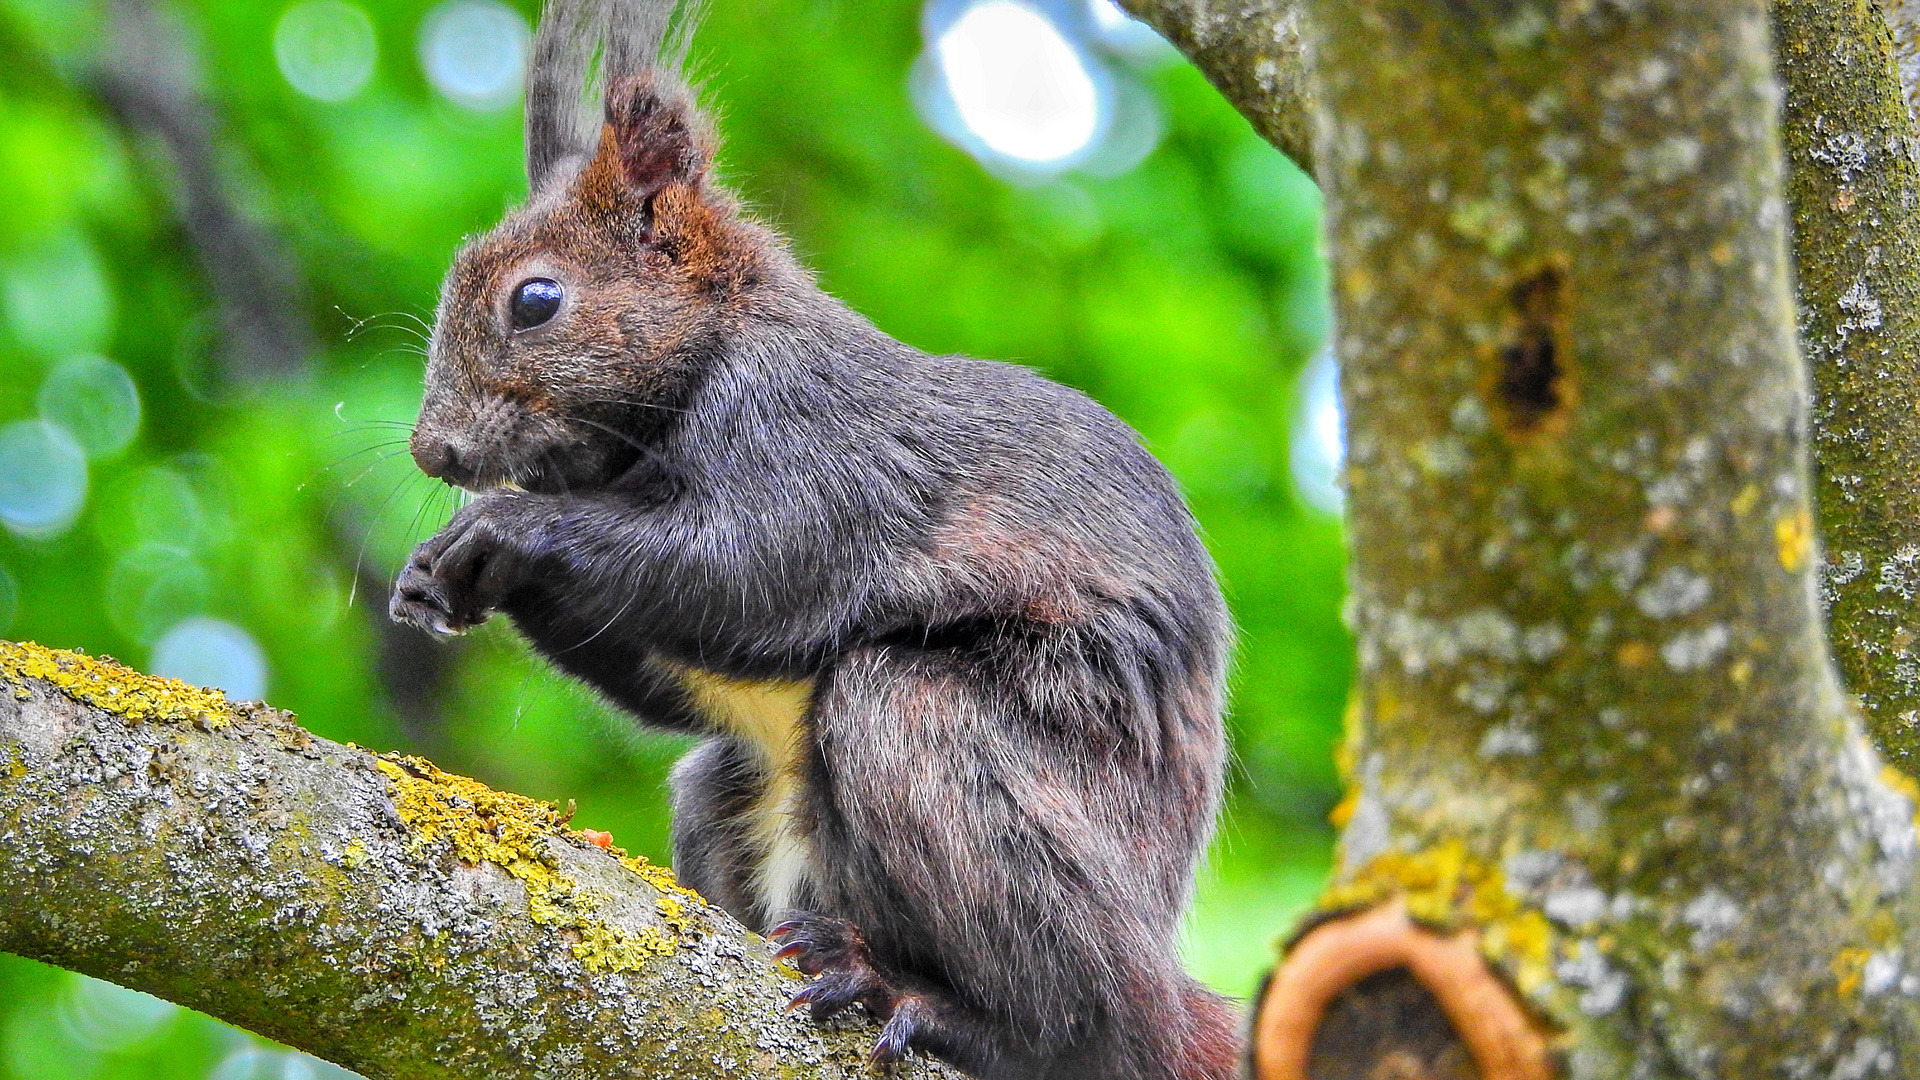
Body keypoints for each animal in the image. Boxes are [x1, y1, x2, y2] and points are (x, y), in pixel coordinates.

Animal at [382, 4, 1236, 1068]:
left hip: (940, 741)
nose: (433, 450)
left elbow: (748, 571)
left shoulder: (816, 450)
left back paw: (919, 1000)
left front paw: (503, 527)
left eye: (535, 299)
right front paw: (429, 575)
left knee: (1088, 1019)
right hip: (732, 795)